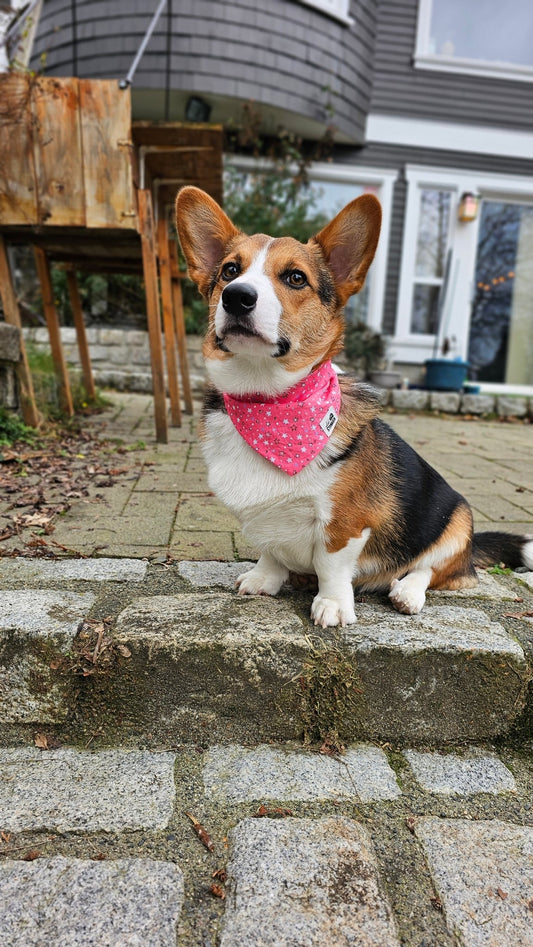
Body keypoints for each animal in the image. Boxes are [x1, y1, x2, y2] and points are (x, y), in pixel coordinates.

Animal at [176, 185, 532, 628]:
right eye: (229, 270)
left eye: (296, 278)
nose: (237, 297)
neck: (268, 401)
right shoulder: (267, 521)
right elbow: (271, 551)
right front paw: (265, 578)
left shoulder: (346, 525)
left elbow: (331, 565)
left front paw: (332, 605)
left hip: (456, 520)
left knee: (432, 571)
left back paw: (406, 592)